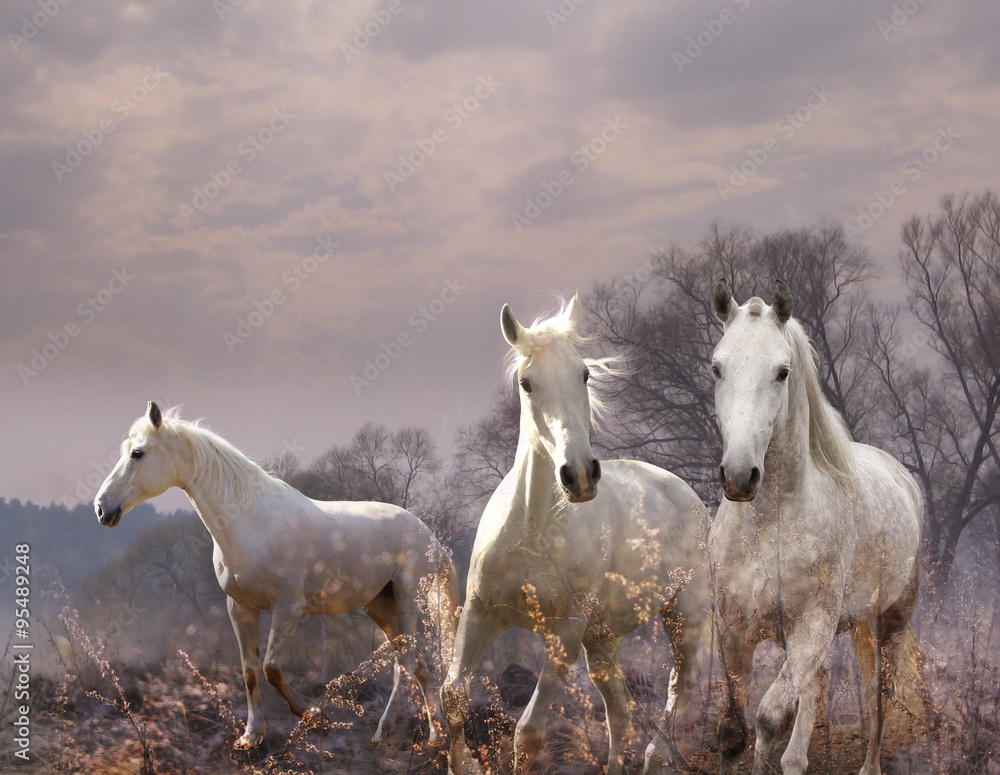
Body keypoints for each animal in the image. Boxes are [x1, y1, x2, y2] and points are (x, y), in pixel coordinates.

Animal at [94, 402, 459, 750]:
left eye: (138, 453)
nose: (102, 508)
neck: (250, 522)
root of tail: (429, 536)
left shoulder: (288, 607)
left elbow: (271, 668)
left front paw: (314, 715)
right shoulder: (240, 608)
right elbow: (250, 672)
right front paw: (250, 736)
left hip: (408, 600)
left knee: (405, 666)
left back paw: (384, 733)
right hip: (380, 606)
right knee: (420, 666)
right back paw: (437, 735)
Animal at [442, 293, 710, 775]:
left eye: (584, 374)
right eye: (527, 383)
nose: (580, 475)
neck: (531, 531)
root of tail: (686, 493)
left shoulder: (564, 633)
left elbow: (528, 733)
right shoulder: (479, 614)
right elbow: (452, 695)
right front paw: (463, 764)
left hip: (684, 615)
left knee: (680, 686)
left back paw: (656, 756)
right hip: (602, 639)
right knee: (620, 711)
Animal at [709, 279, 923, 775]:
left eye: (782, 372)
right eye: (717, 368)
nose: (739, 476)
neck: (768, 526)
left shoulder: (811, 628)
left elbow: (769, 720)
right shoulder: (733, 630)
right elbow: (732, 731)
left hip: (890, 622)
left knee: (878, 695)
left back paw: (869, 766)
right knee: (819, 692)